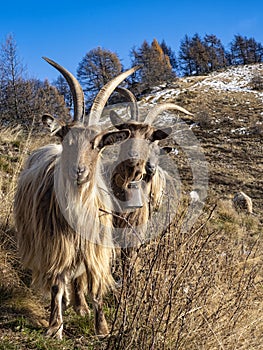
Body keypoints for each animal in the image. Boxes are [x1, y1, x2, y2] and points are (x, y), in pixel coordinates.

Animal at [13, 58, 138, 340]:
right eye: (66, 138)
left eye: (98, 143)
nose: (79, 171)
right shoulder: (55, 245)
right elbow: (57, 284)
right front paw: (54, 326)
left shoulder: (95, 246)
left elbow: (96, 286)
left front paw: (101, 328)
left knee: (79, 276)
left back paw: (80, 306)